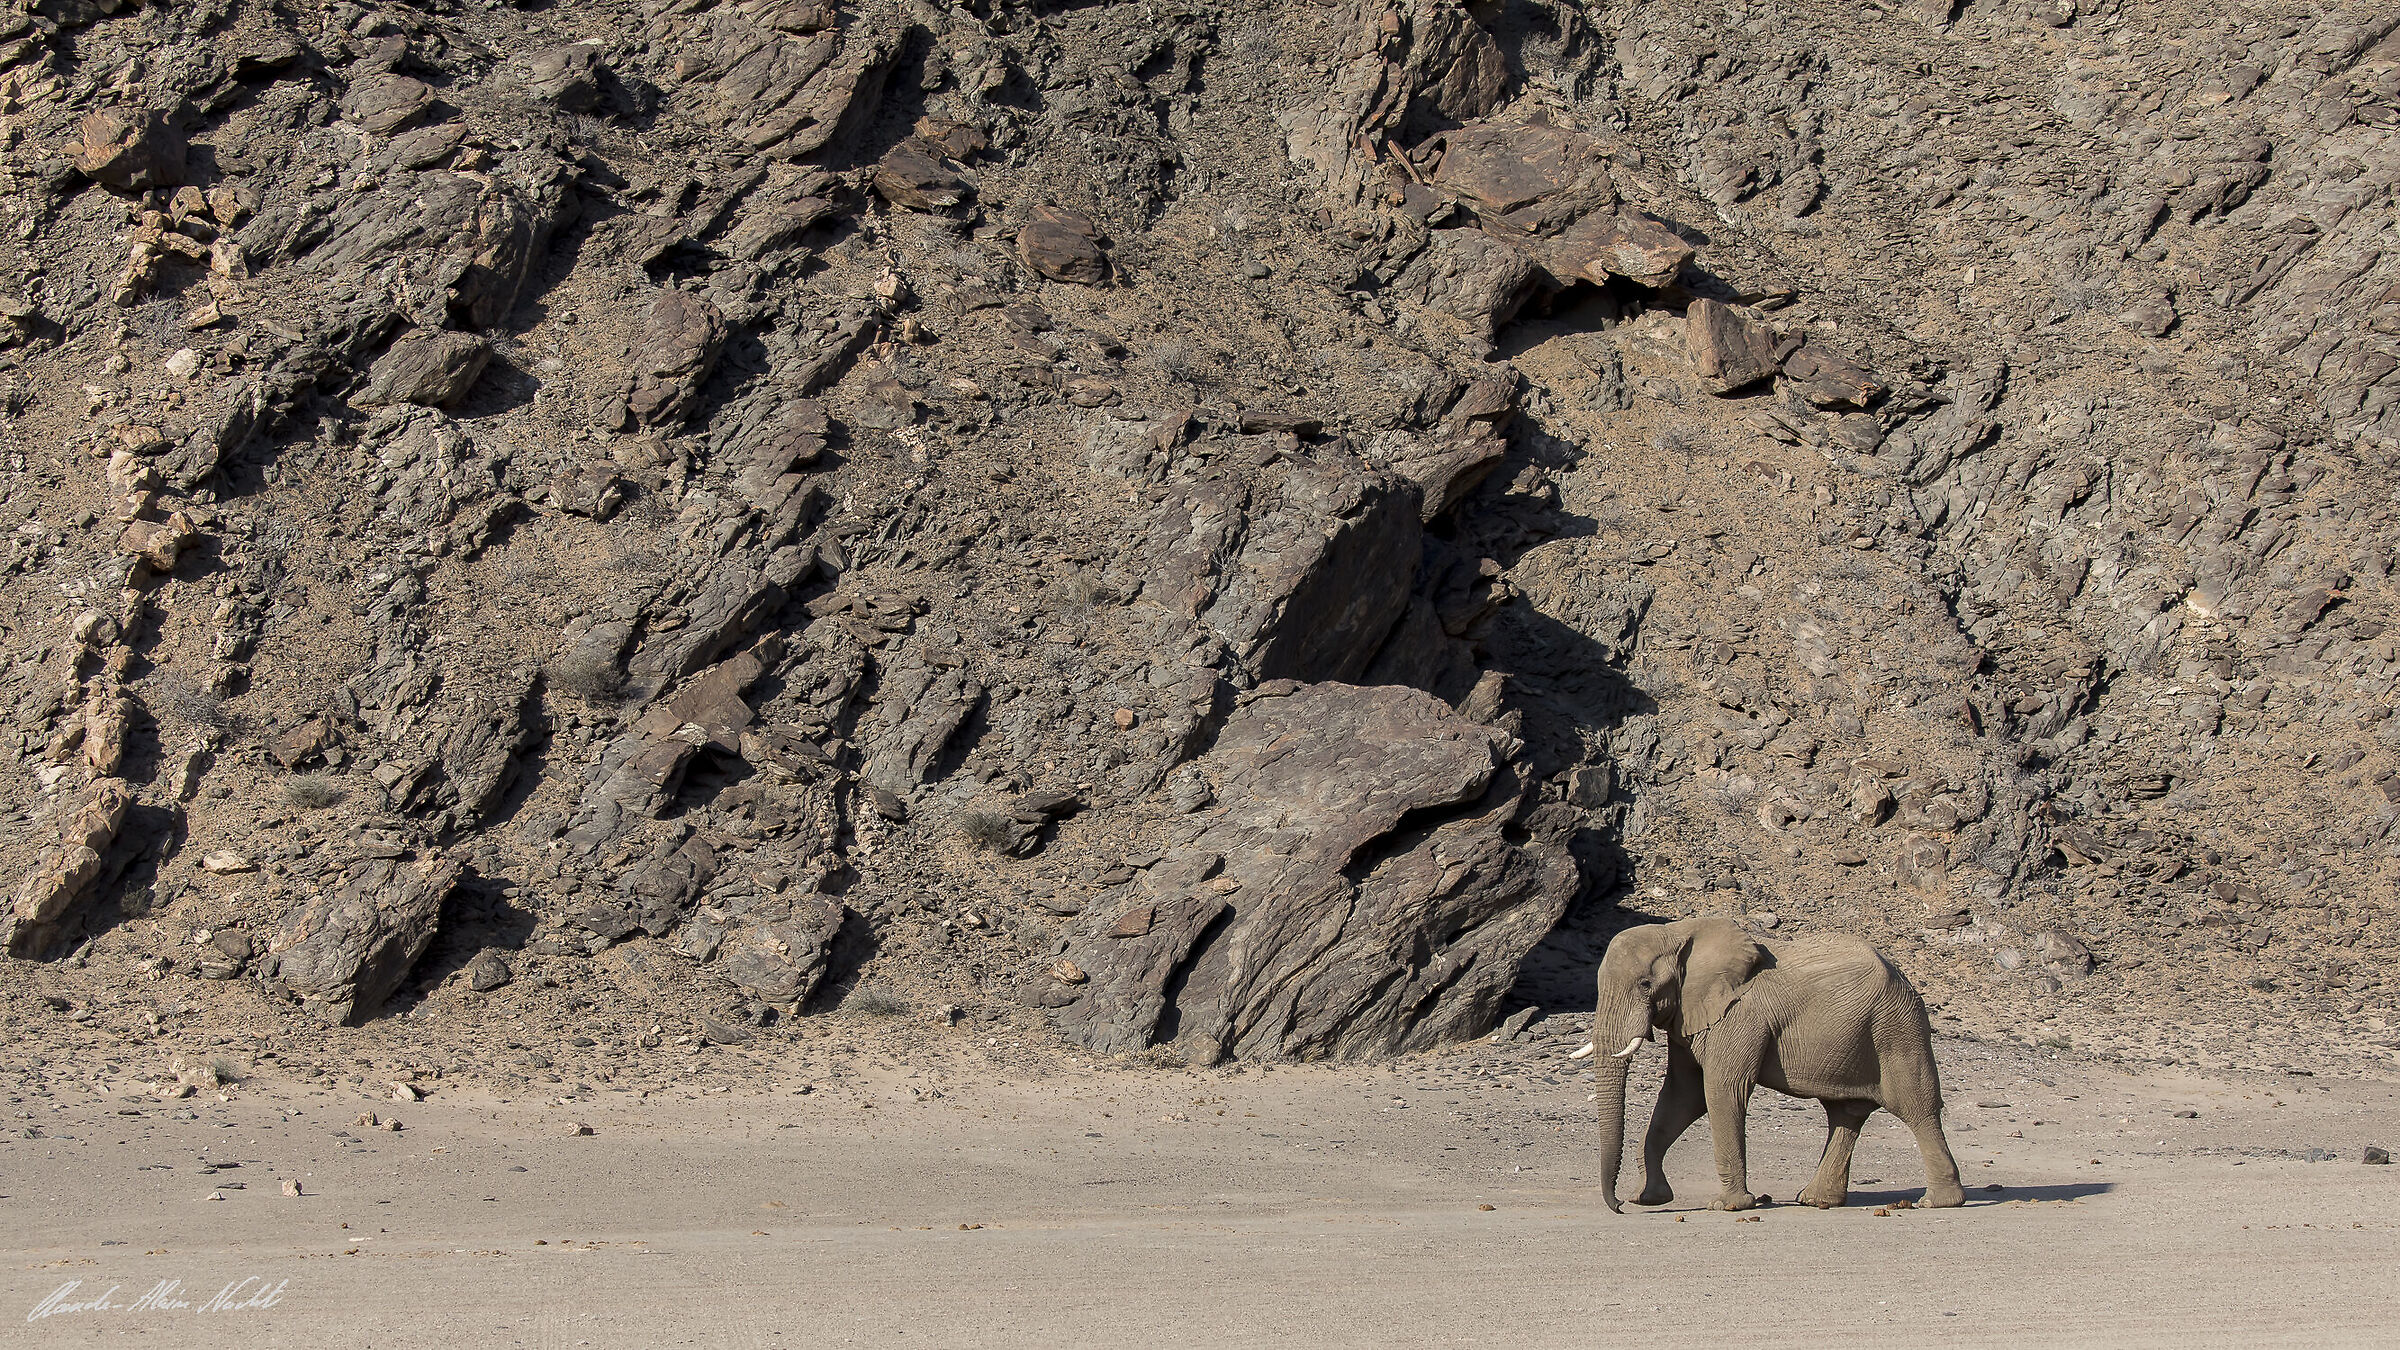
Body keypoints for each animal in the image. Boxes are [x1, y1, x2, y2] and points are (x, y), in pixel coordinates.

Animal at [1576, 916, 1966, 1213]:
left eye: (1645, 984)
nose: (1618, 1206)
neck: (1679, 931)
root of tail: (1903, 975)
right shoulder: (1689, 1016)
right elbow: (1682, 1095)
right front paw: (1650, 1199)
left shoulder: (1740, 1015)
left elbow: (1721, 1089)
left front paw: (1729, 1206)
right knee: (1846, 1113)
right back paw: (1816, 1201)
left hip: (1898, 1029)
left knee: (1915, 1107)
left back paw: (1939, 1202)